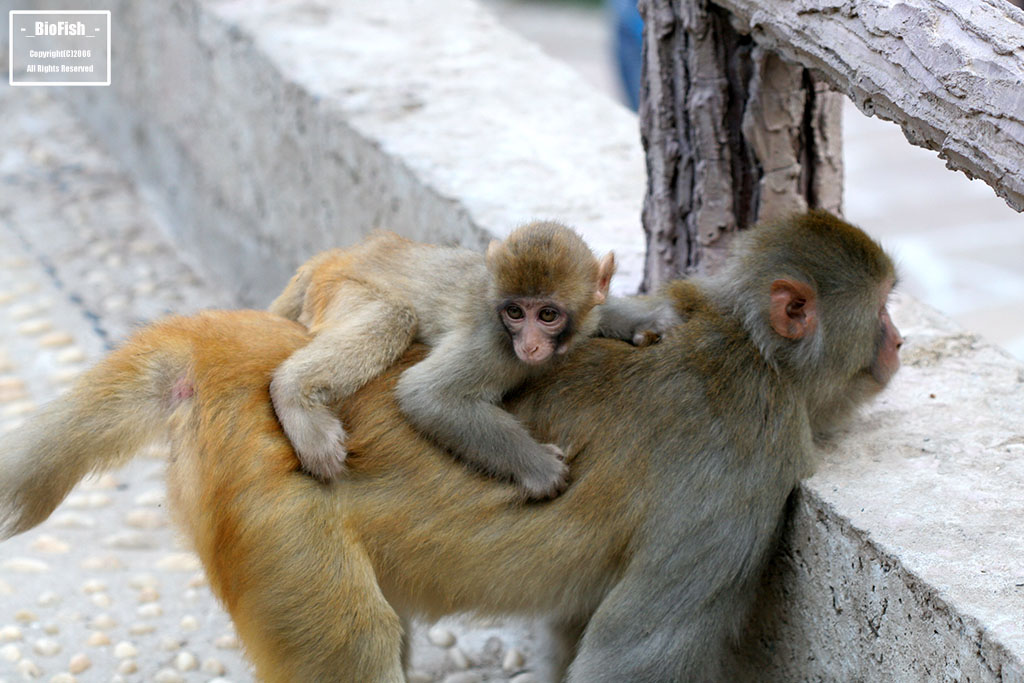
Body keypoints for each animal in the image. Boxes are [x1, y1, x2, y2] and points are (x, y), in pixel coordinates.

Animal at [268, 223, 663, 497]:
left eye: (548, 315)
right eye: (515, 312)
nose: (530, 346)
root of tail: (342, 254)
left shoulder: (581, 318)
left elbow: (600, 308)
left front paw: (642, 323)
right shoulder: (493, 344)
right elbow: (425, 394)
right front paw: (539, 467)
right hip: (339, 286)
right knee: (394, 317)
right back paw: (293, 393)